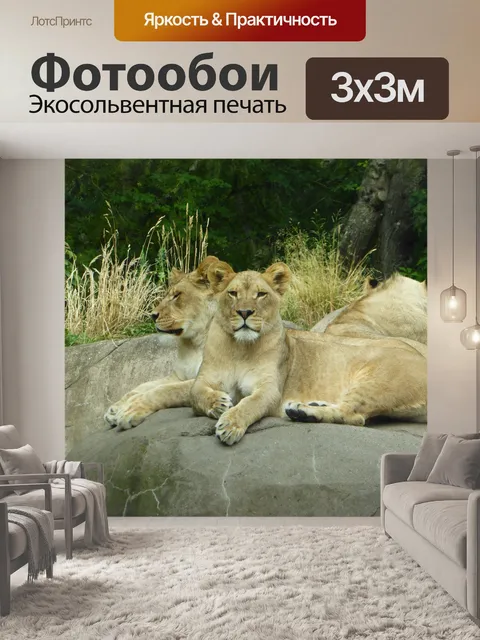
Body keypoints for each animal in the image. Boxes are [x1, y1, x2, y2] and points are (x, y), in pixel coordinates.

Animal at [104, 256, 220, 431]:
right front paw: (115, 408)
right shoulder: (178, 375)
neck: (195, 342)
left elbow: (164, 390)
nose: (153, 315)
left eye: (177, 295)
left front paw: (129, 410)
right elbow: (143, 386)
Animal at [191, 261, 427, 446]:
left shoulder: (270, 389)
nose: (245, 312)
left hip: (378, 381)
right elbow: (197, 394)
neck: (239, 349)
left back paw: (300, 411)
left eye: (261, 294)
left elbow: (249, 404)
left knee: (353, 415)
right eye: (233, 293)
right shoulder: (203, 378)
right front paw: (218, 404)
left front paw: (231, 425)